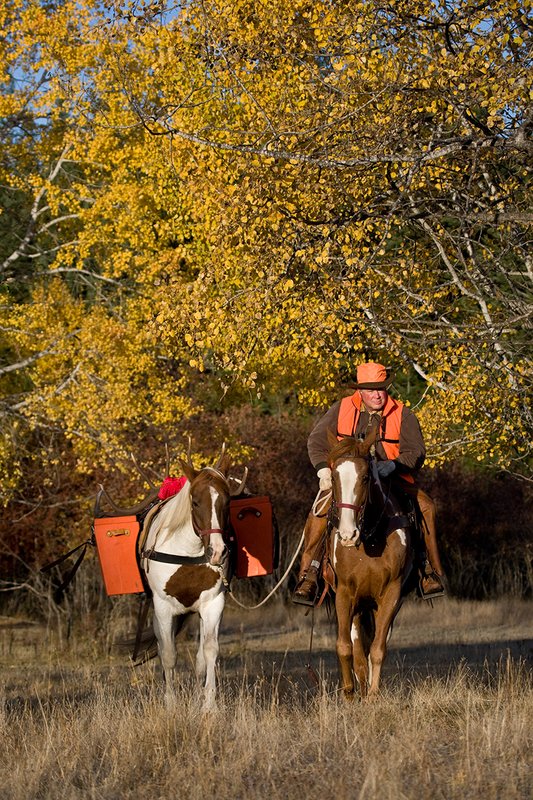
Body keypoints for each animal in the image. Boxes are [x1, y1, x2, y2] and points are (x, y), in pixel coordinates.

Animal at [140, 446, 247, 710]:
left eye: (227, 502)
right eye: (196, 502)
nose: (217, 551)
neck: (187, 552)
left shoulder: (213, 604)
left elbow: (208, 652)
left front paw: (209, 705)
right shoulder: (163, 607)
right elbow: (168, 654)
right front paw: (170, 704)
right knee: (163, 647)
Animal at [325, 427, 416, 700]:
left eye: (366, 477)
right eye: (333, 477)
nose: (347, 534)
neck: (370, 539)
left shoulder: (391, 595)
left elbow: (378, 648)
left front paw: (374, 695)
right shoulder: (344, 593)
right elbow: (345, 647)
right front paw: (349, 692)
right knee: (357, 648)